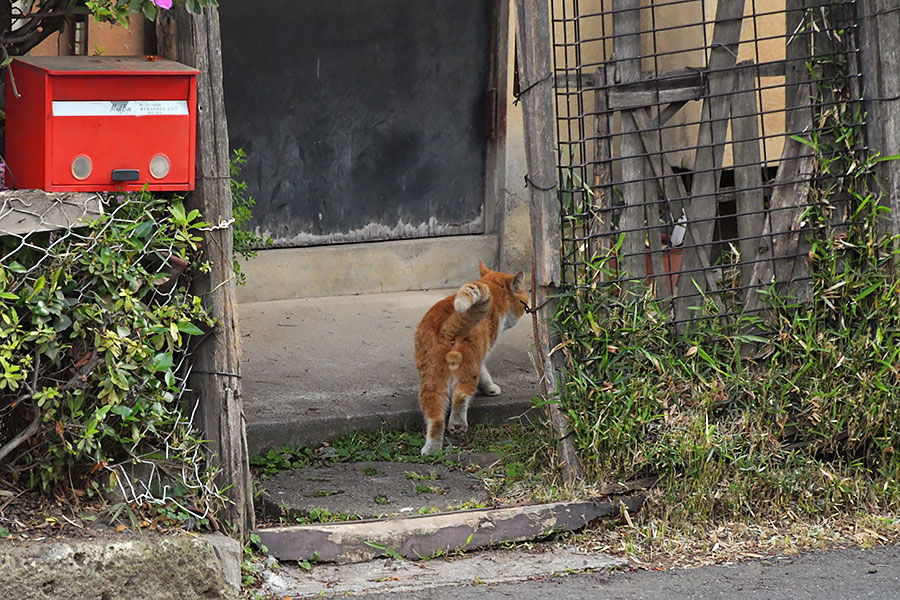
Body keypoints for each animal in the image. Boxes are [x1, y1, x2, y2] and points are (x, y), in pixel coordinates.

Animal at [414, 262, 528, 454]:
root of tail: (448, 328)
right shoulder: (481, 357)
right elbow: (485, 375)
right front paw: (491, 389)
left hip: (431, 378)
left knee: (435, 416)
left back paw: (431, 450)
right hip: (467, 367)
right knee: (460, 397)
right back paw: (458, 425)